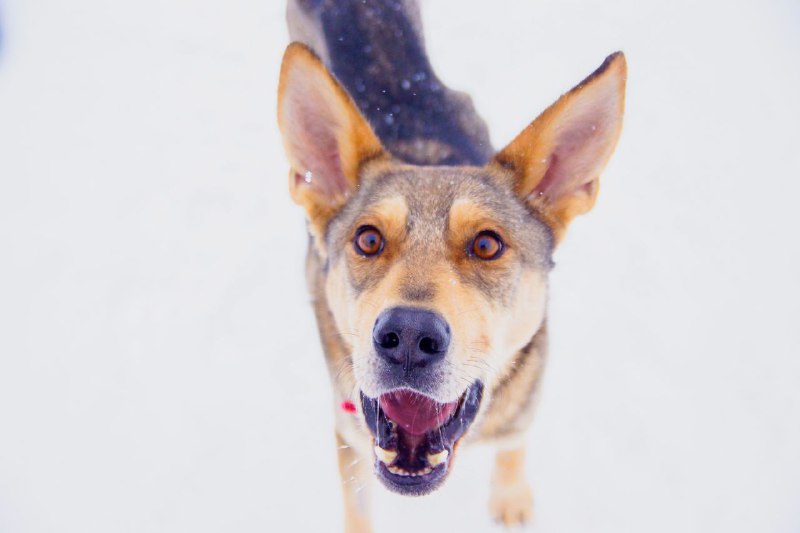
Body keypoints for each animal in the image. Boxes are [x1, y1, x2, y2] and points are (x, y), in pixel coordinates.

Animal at [278, 0, 628, 528]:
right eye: (368, 239)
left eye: (486, 245)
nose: (407, 337)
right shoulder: (349, 436)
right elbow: (357, 510)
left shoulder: (524, 404)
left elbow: (513, 444)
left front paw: (510, 497)